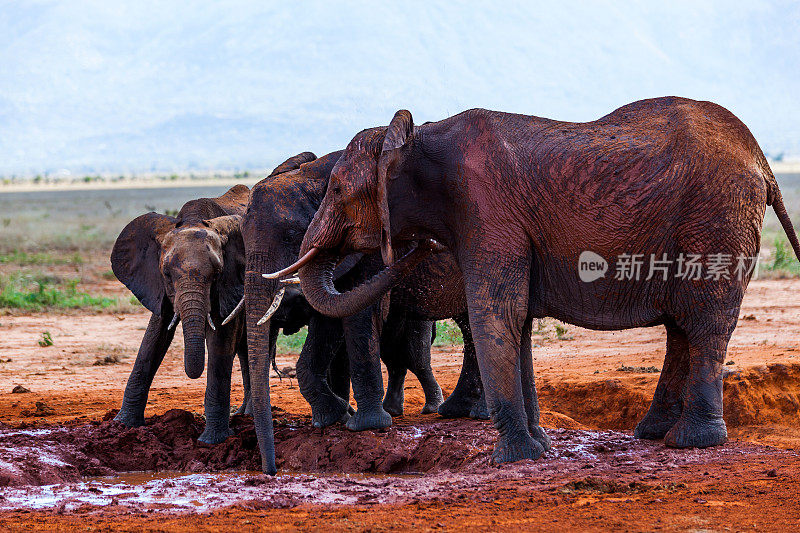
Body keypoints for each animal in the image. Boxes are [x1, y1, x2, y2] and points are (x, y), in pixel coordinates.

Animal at [111, 185, 250, 442]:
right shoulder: (156, 284)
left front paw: (212, 441)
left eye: (217, 274)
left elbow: (221, 340)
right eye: (166, 273)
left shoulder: (230, 283)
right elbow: (154, 337)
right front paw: (122, 426)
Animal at [244, 152, 484, 472]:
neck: (314, 175)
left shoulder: (364, 245)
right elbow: (330, 316)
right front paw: (333, 417)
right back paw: (456, 410)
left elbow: (357, 316)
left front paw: (364, 425)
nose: (272, 470)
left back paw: (475, 413)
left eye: (291, 235)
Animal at [280, 97, 800, 464]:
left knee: (705, 323)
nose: (410, 251)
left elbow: (496, 315)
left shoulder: (487, 211)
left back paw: (692, 443)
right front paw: (541, 450)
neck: (417, 136)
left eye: (337, 190)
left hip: (717, 220)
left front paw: (513, 459)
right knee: (681, 328)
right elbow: (519, 323)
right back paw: (655, 435)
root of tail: (761, 160)